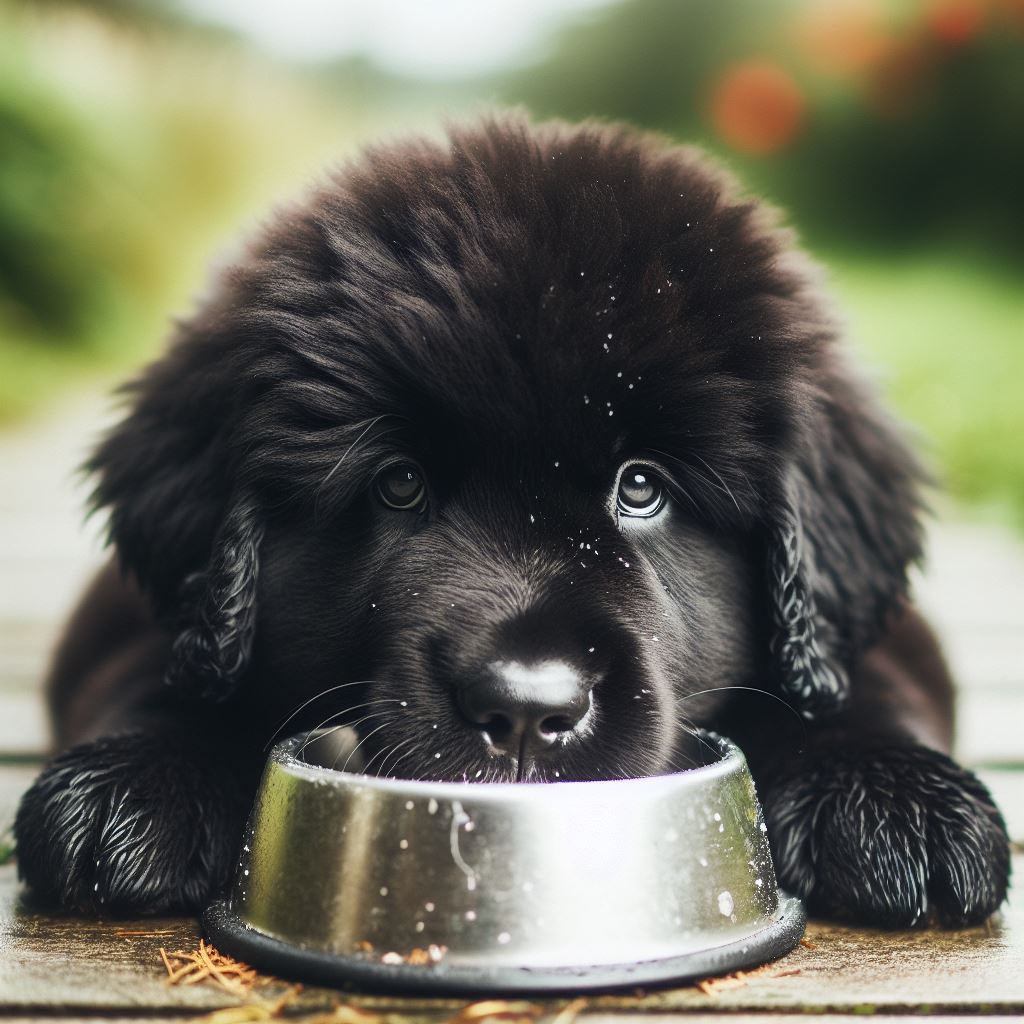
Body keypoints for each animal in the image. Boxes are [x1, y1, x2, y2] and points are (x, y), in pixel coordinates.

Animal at [14, 114, 1007, 929]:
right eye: (400, 484)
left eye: (641, 487)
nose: (527, 708)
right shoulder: (142, 612)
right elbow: (163, 676)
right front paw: (134, 783)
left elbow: (864, 683)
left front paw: (895, 799)